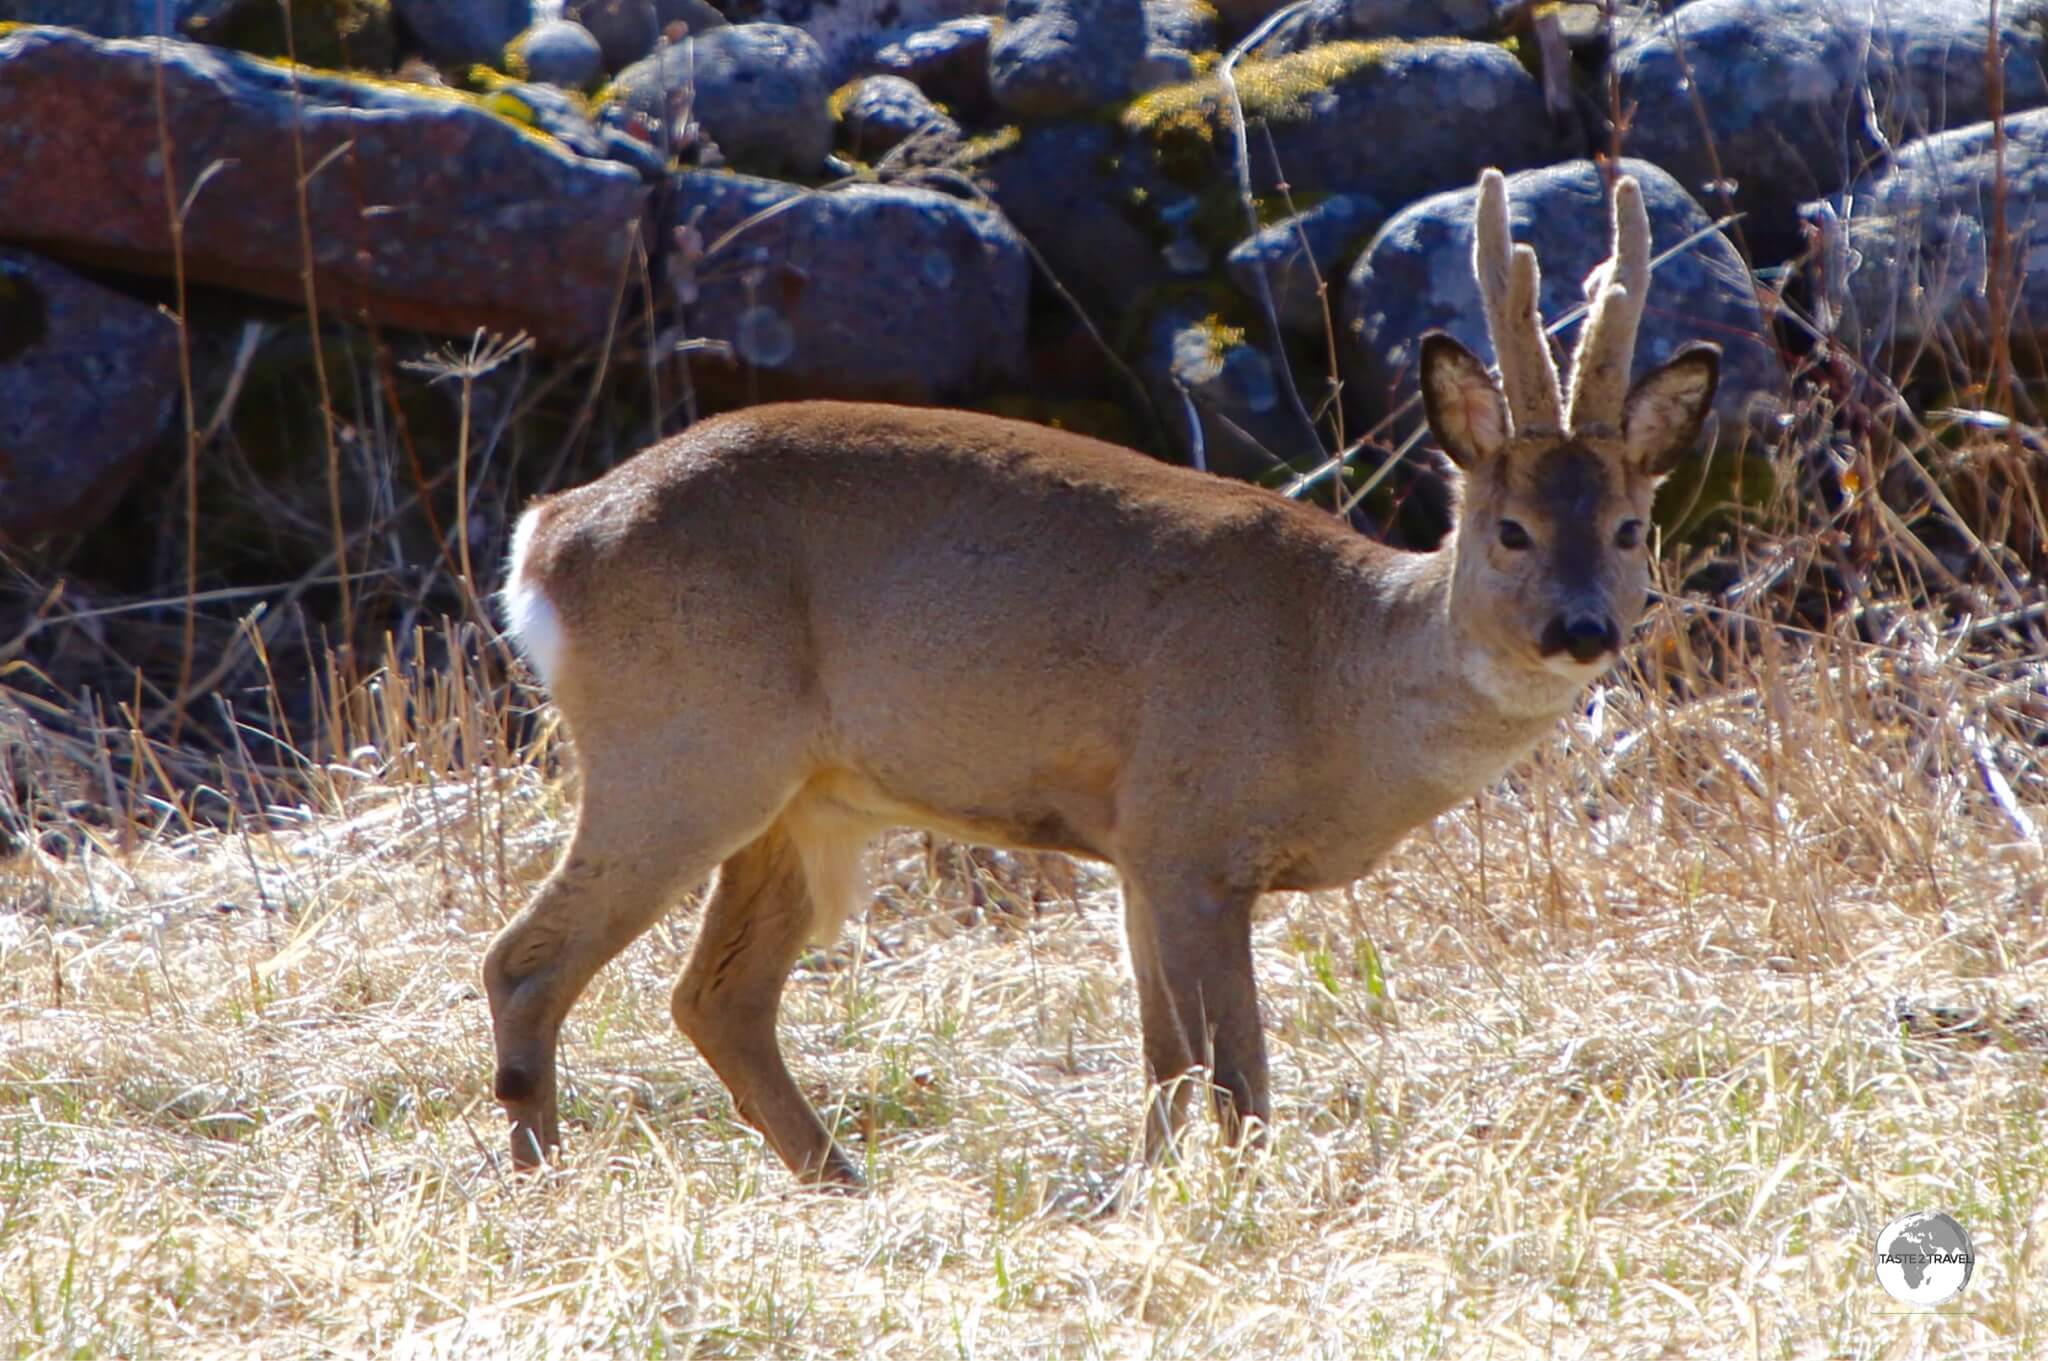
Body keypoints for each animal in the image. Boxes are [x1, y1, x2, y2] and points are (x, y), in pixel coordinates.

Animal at [487, 169, 1720, 1187]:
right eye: (1509, 530)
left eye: (1628, 527)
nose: (1581, 628)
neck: (1335, 674)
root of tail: (547, 536)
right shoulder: (1187, 832)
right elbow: (1233, 1072)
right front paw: (1236, 1201)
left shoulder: (1132, 848)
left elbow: (1167, 1063)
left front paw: (1142, 1193)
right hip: (682, 747)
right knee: (527, 960)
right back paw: (545, 1174)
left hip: (805, 801)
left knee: (718, 995)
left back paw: (839, 1178)